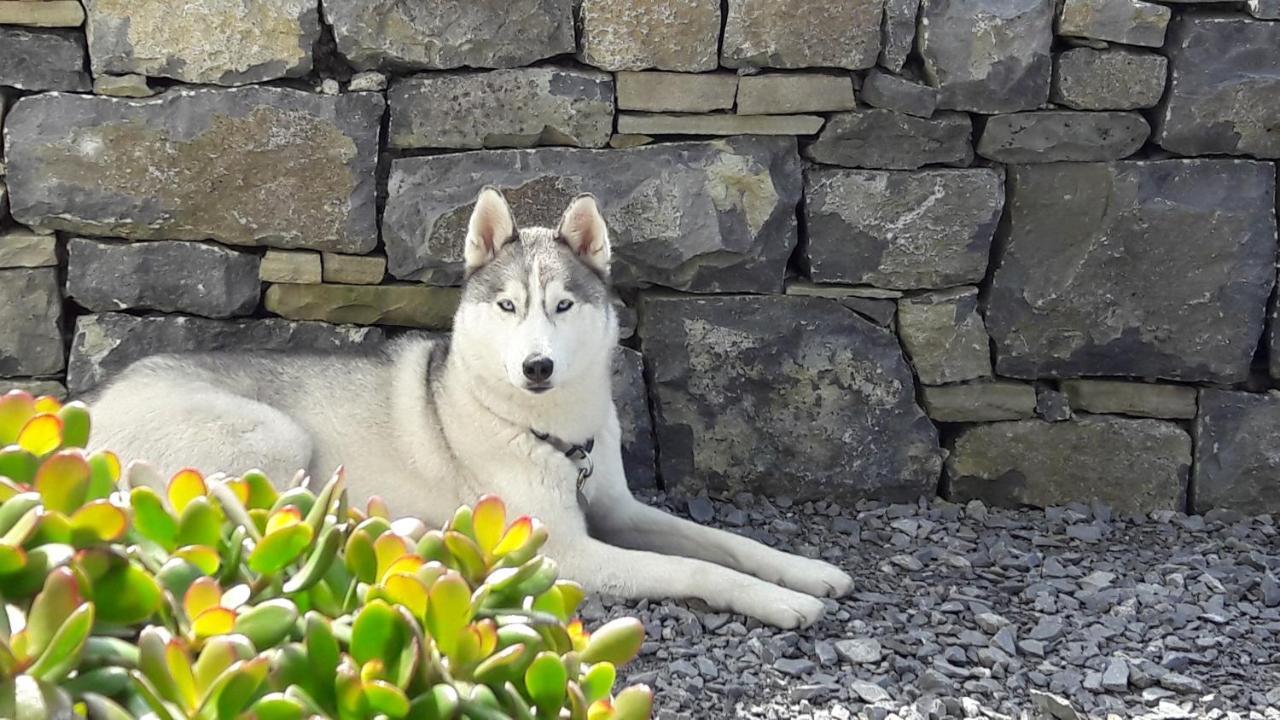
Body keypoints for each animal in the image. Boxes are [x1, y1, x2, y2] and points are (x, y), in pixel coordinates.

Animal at [87, 188, 849, 625]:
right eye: (508, 306)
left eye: (562, 305)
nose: (536, 366)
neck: (550, 433)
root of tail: (86, 408)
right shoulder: (566, 551)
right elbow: (697, 569)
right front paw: (783, 602)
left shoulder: (617, 509)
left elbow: (726, 543)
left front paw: (804, 571)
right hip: (275, 437)